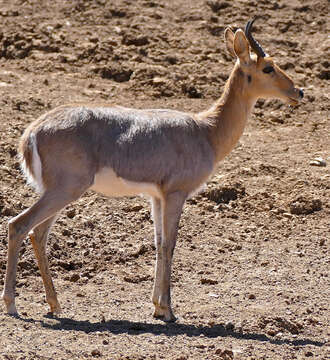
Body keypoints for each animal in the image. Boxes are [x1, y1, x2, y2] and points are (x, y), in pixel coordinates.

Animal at [1, 19, 302, 322]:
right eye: (268, 67)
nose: (298, 92)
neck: (206, 131)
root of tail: (32, 132)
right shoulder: (176, 194)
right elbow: (170, 244)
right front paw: (168, 310)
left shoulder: (156, 196)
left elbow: (158, 244)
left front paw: (157, 306)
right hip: (65, 190)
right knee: (19, 225)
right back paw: (13, 305)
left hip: (60, 192)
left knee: (38, 233)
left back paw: (55, 305)